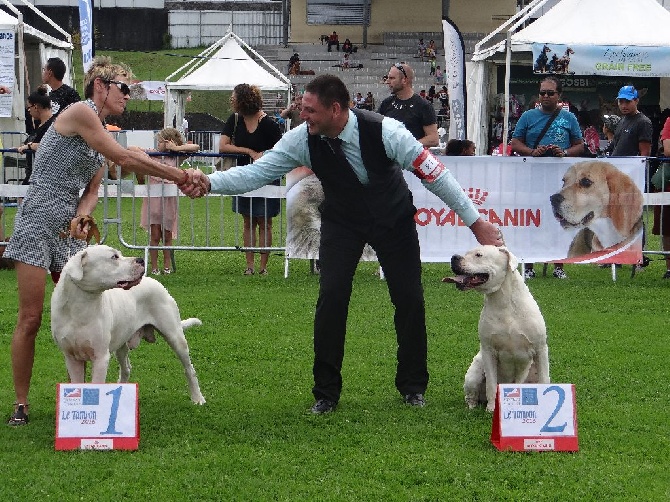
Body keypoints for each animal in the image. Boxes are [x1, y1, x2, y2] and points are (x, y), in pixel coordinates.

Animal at [52, 245, 206, 406]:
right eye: (114, 257)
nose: (141, 260)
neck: (80, 306)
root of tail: (157, 283)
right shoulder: (72, 358)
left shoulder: (100, 358)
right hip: (121, 343)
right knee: (126, 369)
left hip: (175, 337)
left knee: (189, 369)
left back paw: (198, 398)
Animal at [444, 246, 548, 412]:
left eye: (478, 255)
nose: (454, 257)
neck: (503, 301)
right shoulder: (489, 352)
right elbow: (491, 385)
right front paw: (492, 409)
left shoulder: (541, 349)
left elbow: (545, 379)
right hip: (475, 372)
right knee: (472, 395)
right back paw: (472, 407)